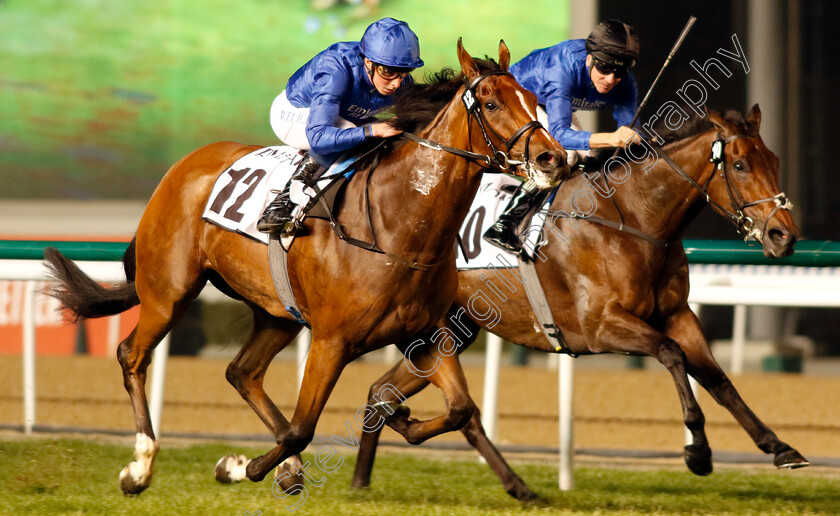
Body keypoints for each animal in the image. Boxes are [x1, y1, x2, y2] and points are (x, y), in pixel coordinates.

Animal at [42, 38, 568, 494]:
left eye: (534, 99)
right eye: (492, 104)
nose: (553, 158)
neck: (399, 226)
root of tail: (183, 165)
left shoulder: (426, 333)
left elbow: (460, 409)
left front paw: (397, 416)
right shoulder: (332, 341)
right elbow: (302, 428)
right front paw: (242, 466)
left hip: (277, 312)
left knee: (242, 372)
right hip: (168, 291)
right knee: (133, 355)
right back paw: (141, 466)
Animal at [350, 106, 808, 500]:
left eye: (774, 161)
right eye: (740, 165)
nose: (784, 236)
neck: (632, 217)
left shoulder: (677, 315)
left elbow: (719, 380)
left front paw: (779, 447)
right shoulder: (600, 325)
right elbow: (671, 354)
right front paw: (698, 452)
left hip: (446, 332)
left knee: (384, 390)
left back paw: (367, 475)